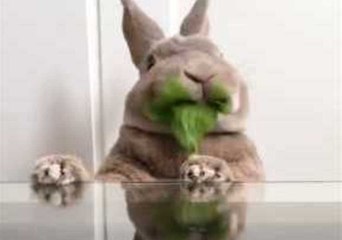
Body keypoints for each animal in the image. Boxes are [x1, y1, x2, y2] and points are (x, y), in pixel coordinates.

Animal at [32, 0, 264, 185]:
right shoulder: (120, 168)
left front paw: (205, 168)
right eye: (151, 62)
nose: (202, 72)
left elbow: (240, 173)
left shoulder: (249, 167)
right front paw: (56, 167)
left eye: (220, 54)